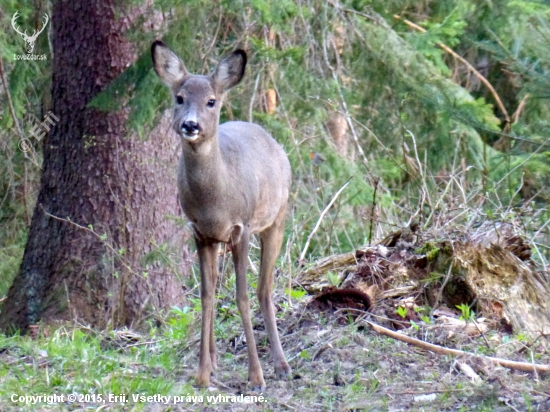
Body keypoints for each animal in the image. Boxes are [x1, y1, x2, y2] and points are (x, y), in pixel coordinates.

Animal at [152, 41, 294, 390]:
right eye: (179, 98)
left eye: (211, 101)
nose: (190, 125)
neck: (214, 201)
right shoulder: (200, 233)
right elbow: (205, 296)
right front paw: (202, 374)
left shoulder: (241, 227)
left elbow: (242, 296)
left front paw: (256, 376)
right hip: (220, 240)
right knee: (218, 288)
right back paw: (215, 361)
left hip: (277, 218)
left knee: (264, 288)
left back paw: (281, 364)